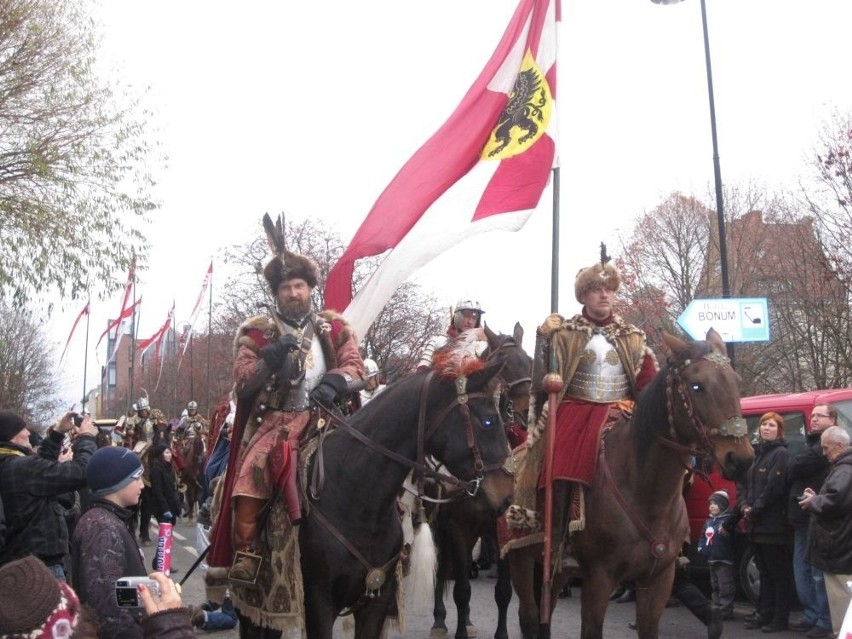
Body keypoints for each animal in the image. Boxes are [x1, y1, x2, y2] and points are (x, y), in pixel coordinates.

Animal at [506, 330, 752, 639]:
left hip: (557, 570)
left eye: (736, 381)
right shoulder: (599, 578)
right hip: (521, 557)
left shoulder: (658, 579)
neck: (647, 493)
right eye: (697, 386)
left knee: (545, 613)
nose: (740, 459)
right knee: (529, 616)